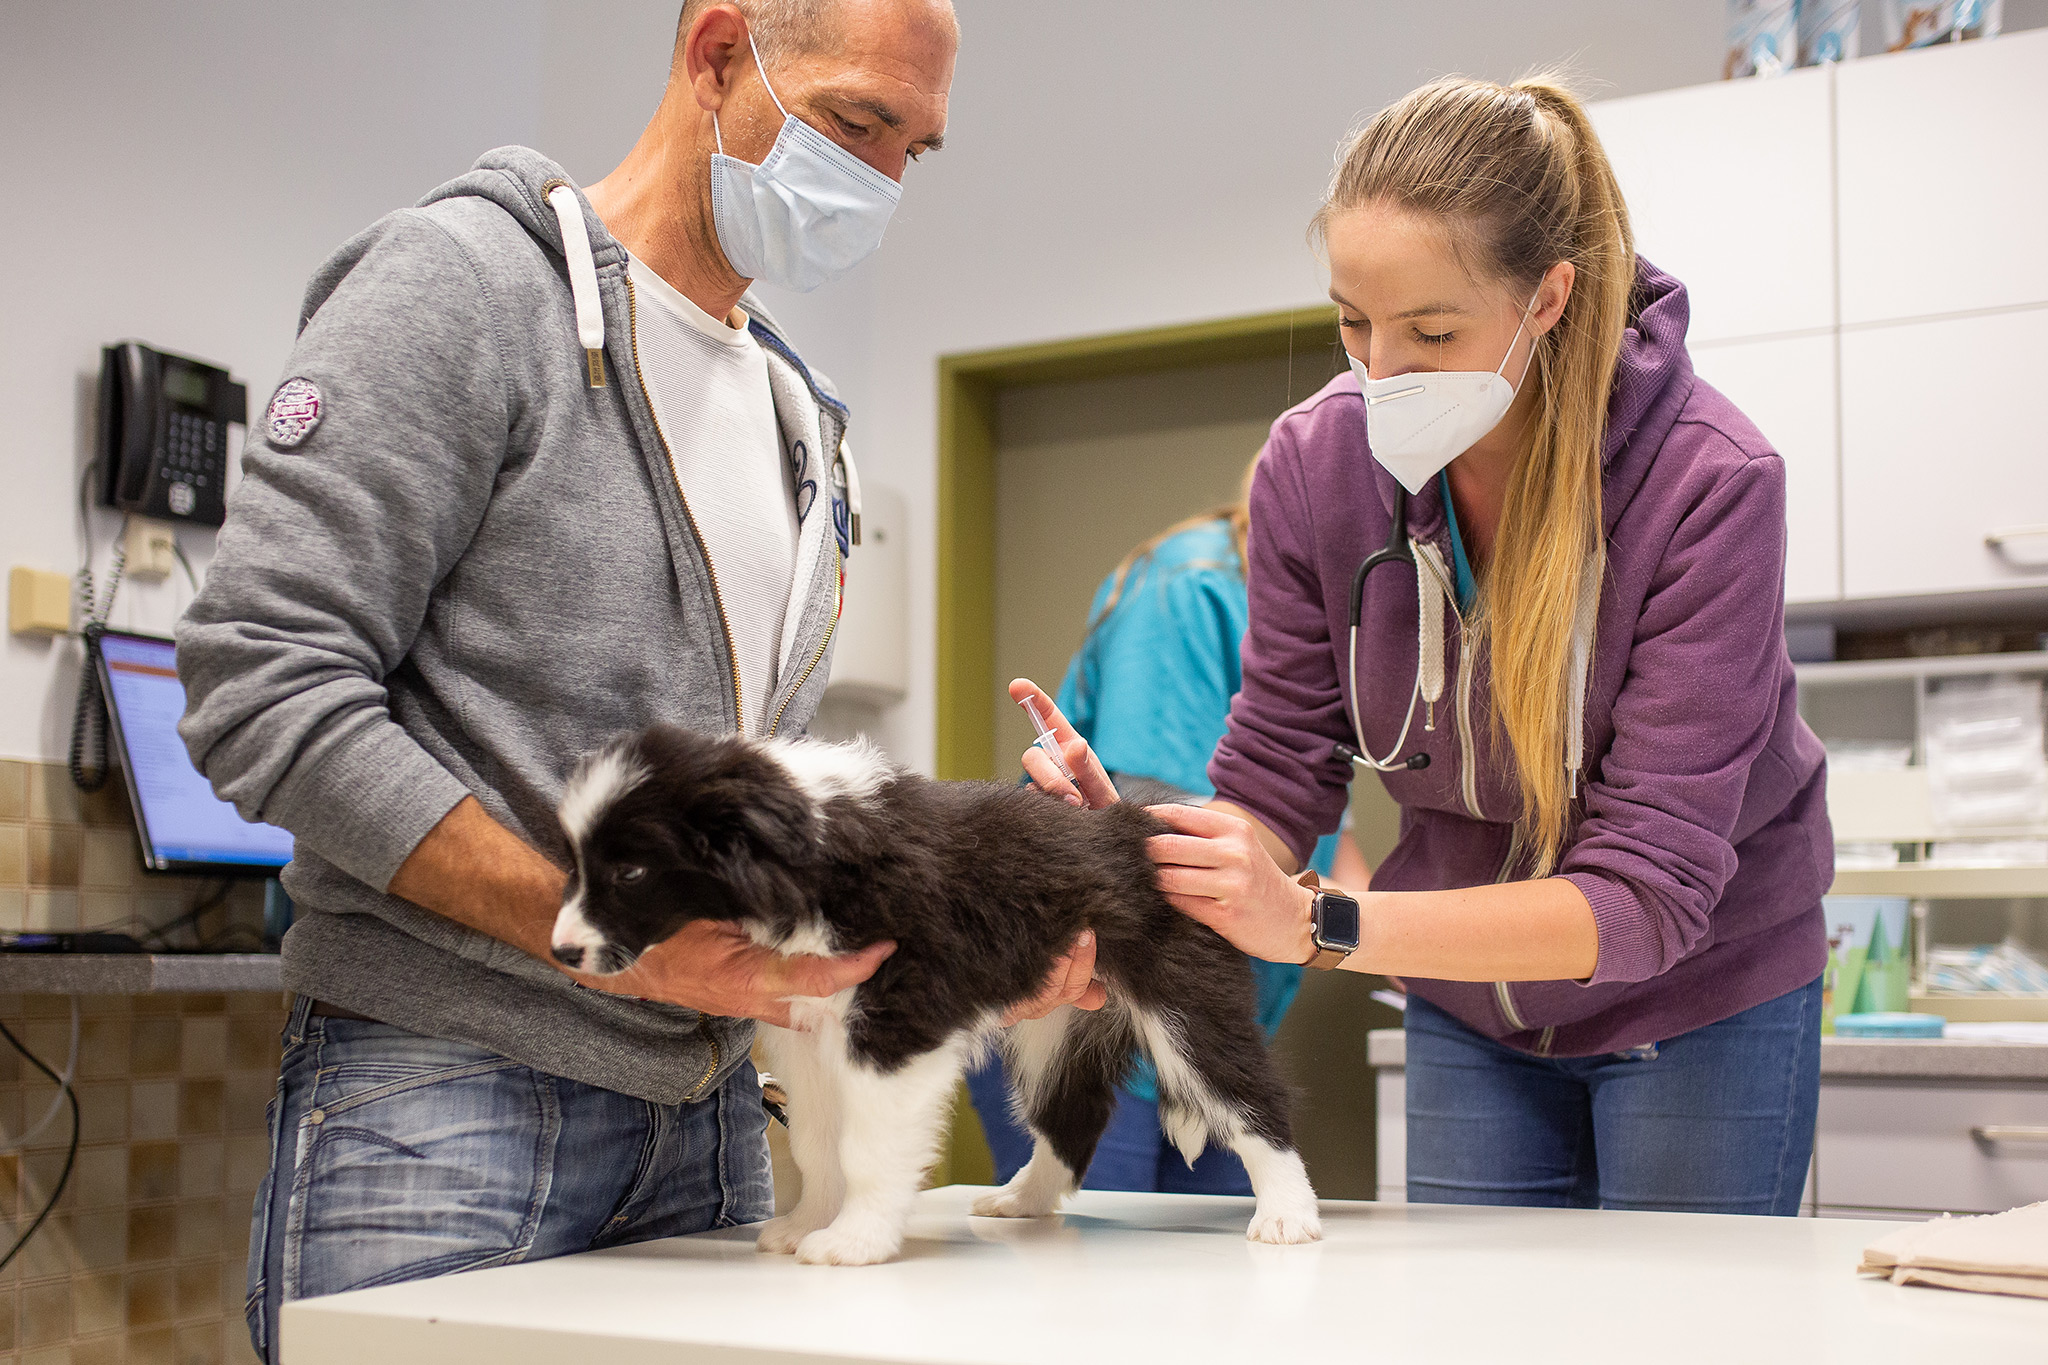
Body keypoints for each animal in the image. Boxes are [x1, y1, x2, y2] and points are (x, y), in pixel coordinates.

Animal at [552, 724, 1318, 1268]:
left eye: (631, 871)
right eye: (576, 864)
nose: (561, 953)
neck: (812, 850)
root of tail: (1148, 820)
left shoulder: (900, 1021)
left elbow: (865, 1145)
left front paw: (854, 1241)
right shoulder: (808, 1028)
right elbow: (817, 1141)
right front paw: (806, 1224)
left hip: (1183, 994)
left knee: (1249, 1099)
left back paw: (1288, 1216)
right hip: (1054, 1021)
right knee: (1070, 1115)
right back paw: (1023, 1199)